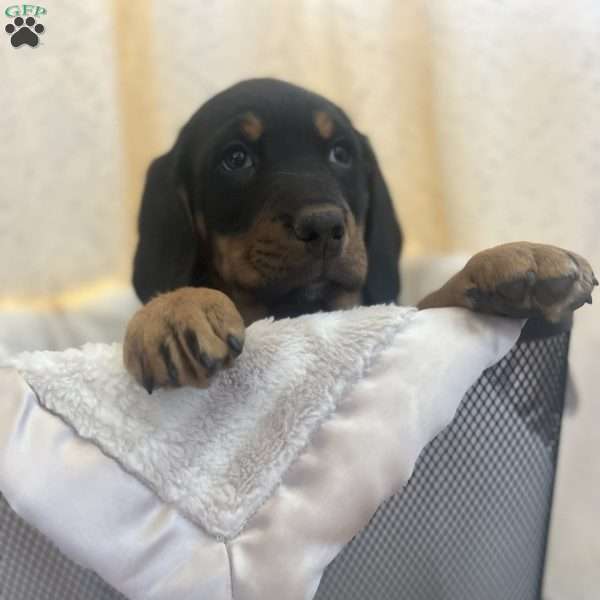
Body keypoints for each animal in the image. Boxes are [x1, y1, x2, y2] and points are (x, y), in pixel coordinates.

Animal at [124, 76, 596, 394]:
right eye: (235, 158)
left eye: (341, 153)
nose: (324, 227)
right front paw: (174, 310)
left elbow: (433, 299)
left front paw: (516, 257)